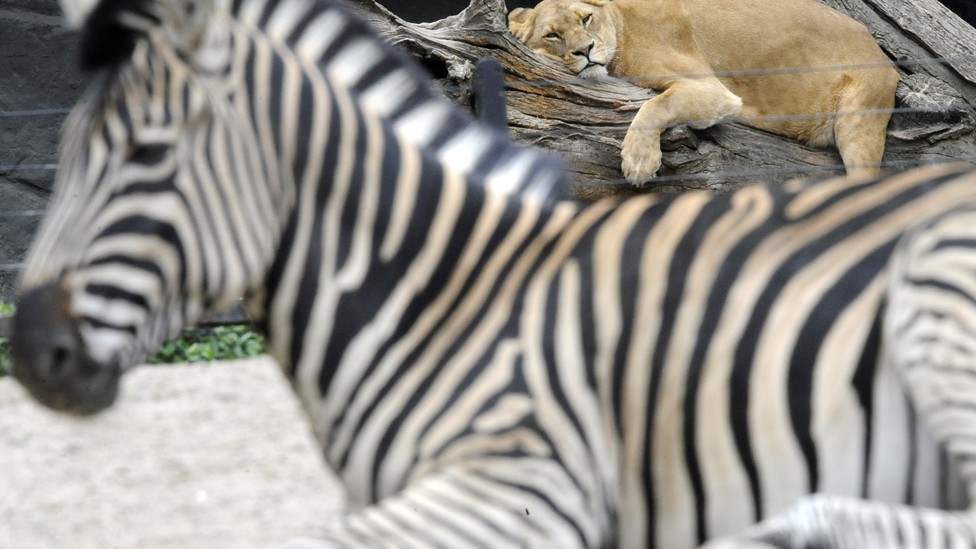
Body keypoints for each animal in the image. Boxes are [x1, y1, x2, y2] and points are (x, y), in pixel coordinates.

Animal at [509, 0, 900, 184]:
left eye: (586, 19)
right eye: (553, 35)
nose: (585, 50)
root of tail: (885, 59)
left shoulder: (713, 90)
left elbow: (656, 105)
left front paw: (638, 161)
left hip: (859, 123)